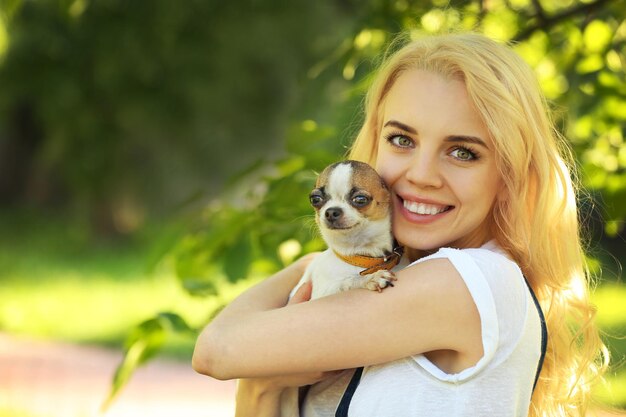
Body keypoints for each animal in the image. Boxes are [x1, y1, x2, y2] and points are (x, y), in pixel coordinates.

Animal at [282, 160, 404, 416]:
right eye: (315, 199)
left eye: (360, 199)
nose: (331, 211)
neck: (359, 257)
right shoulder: (319, 296)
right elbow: (348, 282)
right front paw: (371, 279)